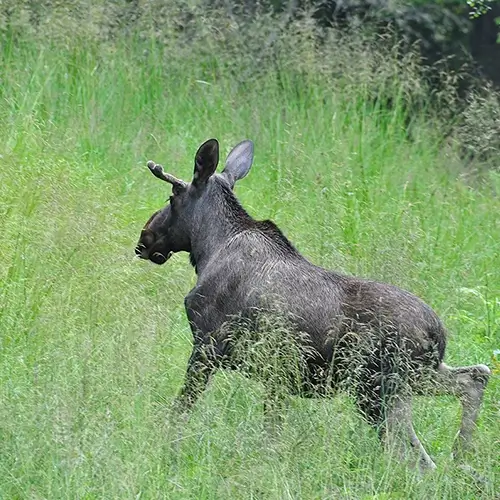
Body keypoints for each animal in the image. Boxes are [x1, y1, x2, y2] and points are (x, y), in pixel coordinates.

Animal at [135, 139, 490, 470]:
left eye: (172, 197)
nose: (144, 237)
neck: (208, 248)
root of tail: (438, 334)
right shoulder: (273, 378)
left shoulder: (207, 346)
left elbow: (180, 410)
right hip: (416, 377)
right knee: (474, 379)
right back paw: (462, 455)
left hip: (378, 388)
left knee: (412, 455)